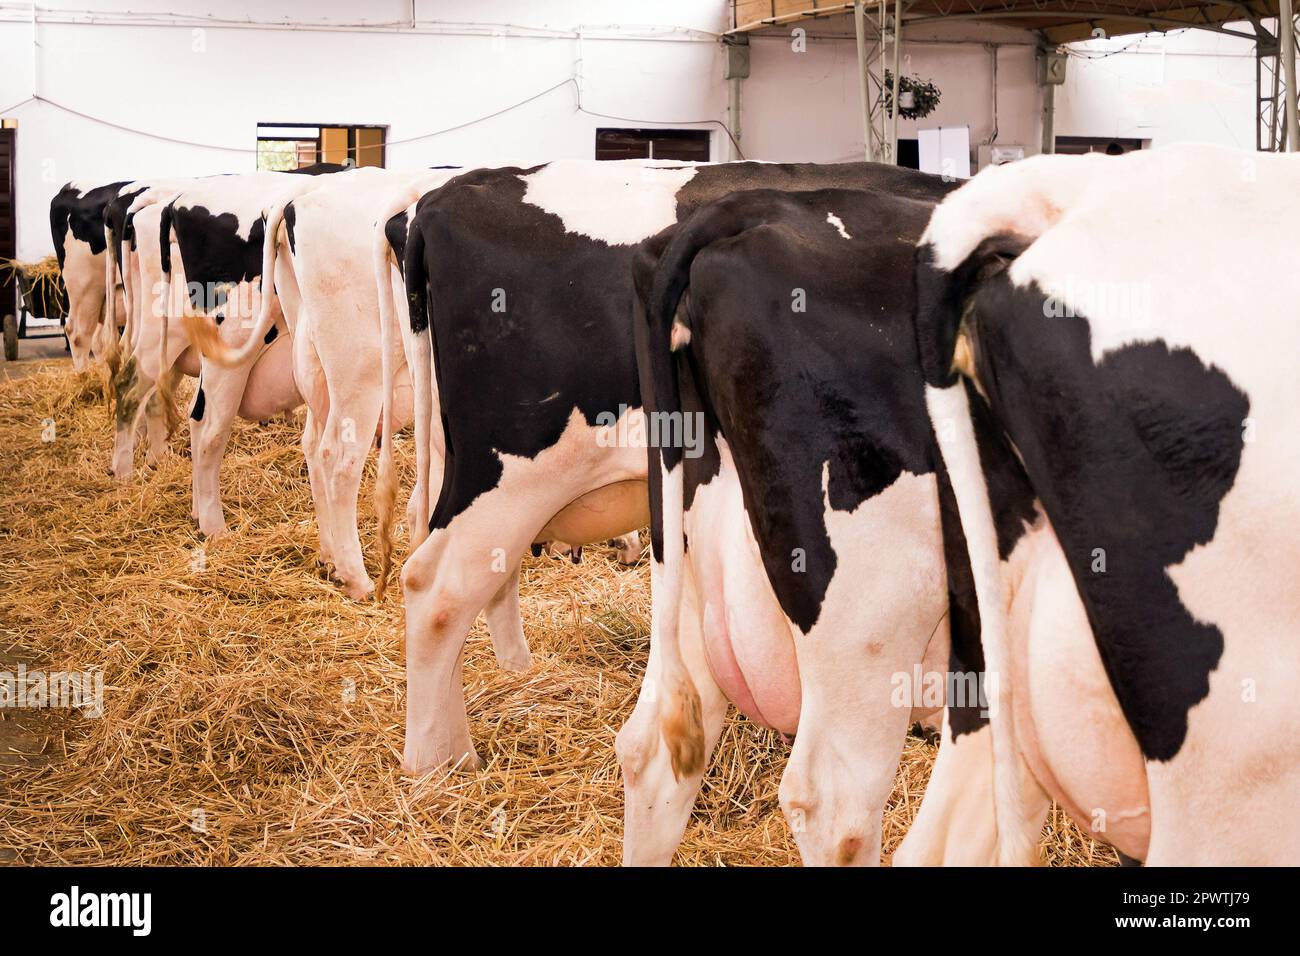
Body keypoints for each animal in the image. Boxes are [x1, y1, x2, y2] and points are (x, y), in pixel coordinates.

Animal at [49, 179, 130, 369]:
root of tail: (69, 188)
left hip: (106, 295)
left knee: (99, 340)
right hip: (84, 286)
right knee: (78, 334)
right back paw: (84, 376)